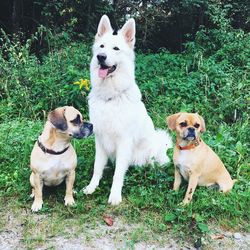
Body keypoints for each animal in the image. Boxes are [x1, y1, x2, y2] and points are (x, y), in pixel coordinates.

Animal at [83, 14, 172, 205]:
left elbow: (117, 175)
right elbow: (97, 168)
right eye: (101, 47)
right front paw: (92, 187)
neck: (110, 97)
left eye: (116, 48)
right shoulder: (100, 140)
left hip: (151, 152)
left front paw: (115, 196)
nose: (101, 57)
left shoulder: (123, 142)